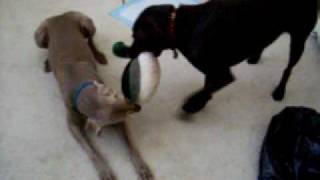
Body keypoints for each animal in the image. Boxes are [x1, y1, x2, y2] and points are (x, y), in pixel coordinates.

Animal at [119, 0, 318, 112]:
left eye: (137, 36)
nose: (127, 52)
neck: (179, 25)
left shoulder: (222, 73)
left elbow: (208, 88)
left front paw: (194, 104)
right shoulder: (211, 71)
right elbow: (207, 86)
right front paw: (200, 103)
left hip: (299, 39)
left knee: (288, 69)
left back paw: (279, 91)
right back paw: (254, 57)